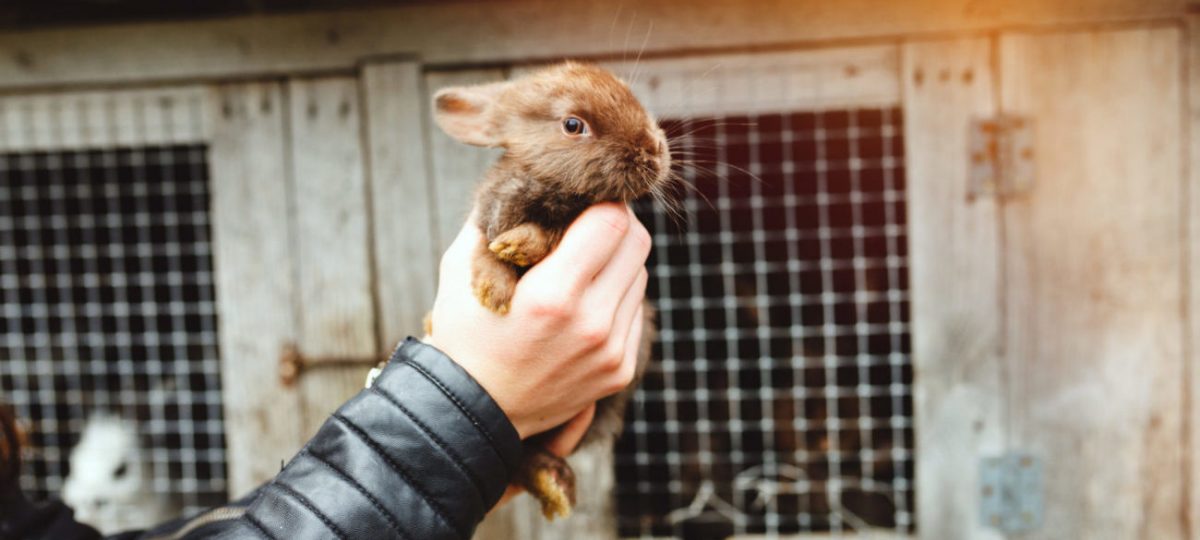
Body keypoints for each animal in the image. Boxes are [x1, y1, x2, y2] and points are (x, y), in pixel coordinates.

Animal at [432, 62, 672, 518]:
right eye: (573, 125)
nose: (655, 152)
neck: (548, 189)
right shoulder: (488, 218)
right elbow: (486, 253)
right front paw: (493, 291)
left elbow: (544, 237)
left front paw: (518, 247)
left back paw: (555, 484)